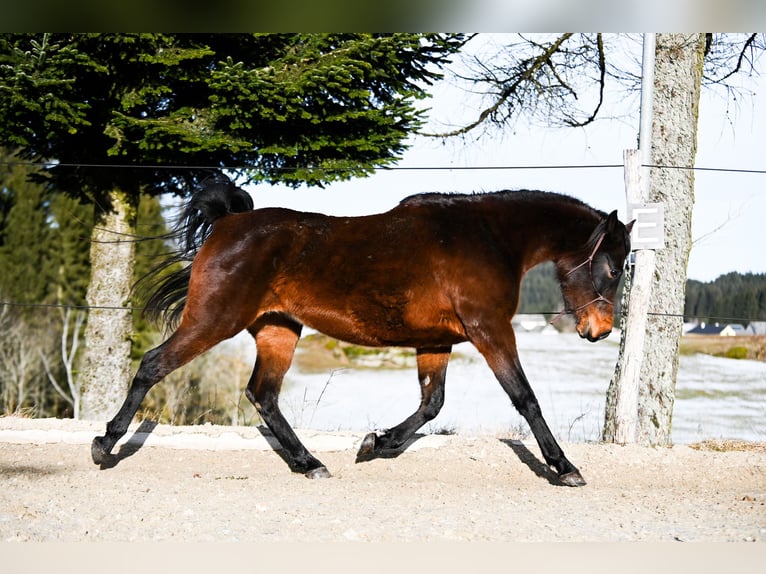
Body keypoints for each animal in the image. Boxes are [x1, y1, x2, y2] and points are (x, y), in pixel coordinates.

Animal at [93, 178, 636, 488]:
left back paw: (309, 462)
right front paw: (564, 468)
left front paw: (376, 443)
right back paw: (106, 445)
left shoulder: (436, 340)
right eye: (612, 267)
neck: (487, 238)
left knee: (263, 395)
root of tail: (229, 221)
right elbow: (525, 399)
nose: (599, 330)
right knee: (153, 365)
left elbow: (431, 405)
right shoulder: (491, 331)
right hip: (213, 320)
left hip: (277, 330)